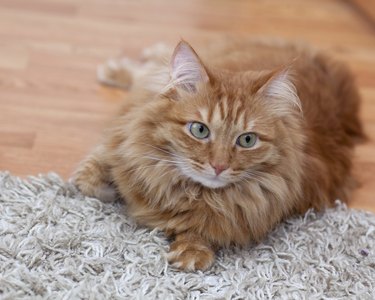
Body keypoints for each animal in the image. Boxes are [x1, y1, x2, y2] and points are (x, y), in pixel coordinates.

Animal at [72, 38, 364, 272]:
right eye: (200, 130)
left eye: (247, 140)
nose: (219, 166)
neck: (185, 190)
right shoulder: (123, 135)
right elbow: (94, 172)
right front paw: (101, 185)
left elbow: (208, 226)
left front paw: (191, 250)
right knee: (150, 66)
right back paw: (120, 66)